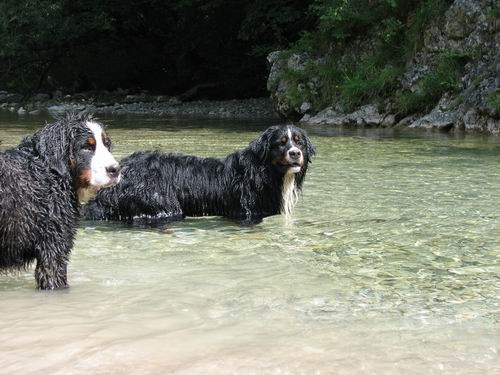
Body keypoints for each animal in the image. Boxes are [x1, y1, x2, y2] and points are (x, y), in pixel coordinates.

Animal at [83, 125, 314, 226]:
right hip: (160, 203)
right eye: (281, 143)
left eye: (299, 142)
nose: (295, 153)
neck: (263, 171)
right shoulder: (247, 211)